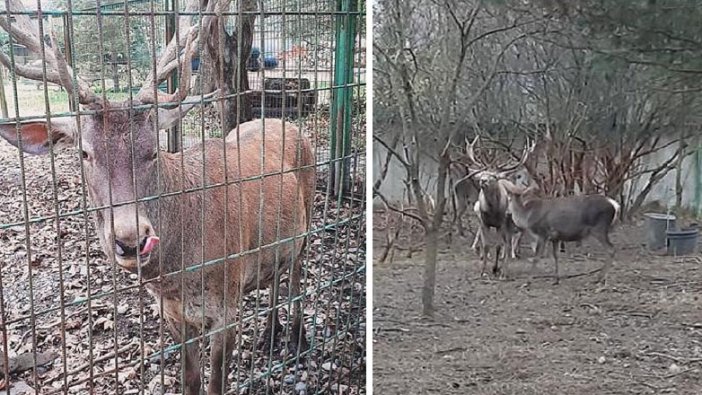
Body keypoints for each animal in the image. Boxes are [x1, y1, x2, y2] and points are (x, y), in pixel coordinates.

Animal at [0, 1, 316, 394]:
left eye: (153, 151)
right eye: (85, 153)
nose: (131, 239)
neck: (176, 276)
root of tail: (287, 123)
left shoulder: (227, 303)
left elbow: (215, 382)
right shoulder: (173, 314)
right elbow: (190, 381)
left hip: (308, 217)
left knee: (297, 274)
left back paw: (297, 338)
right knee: (277, 274)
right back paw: (270, 334)